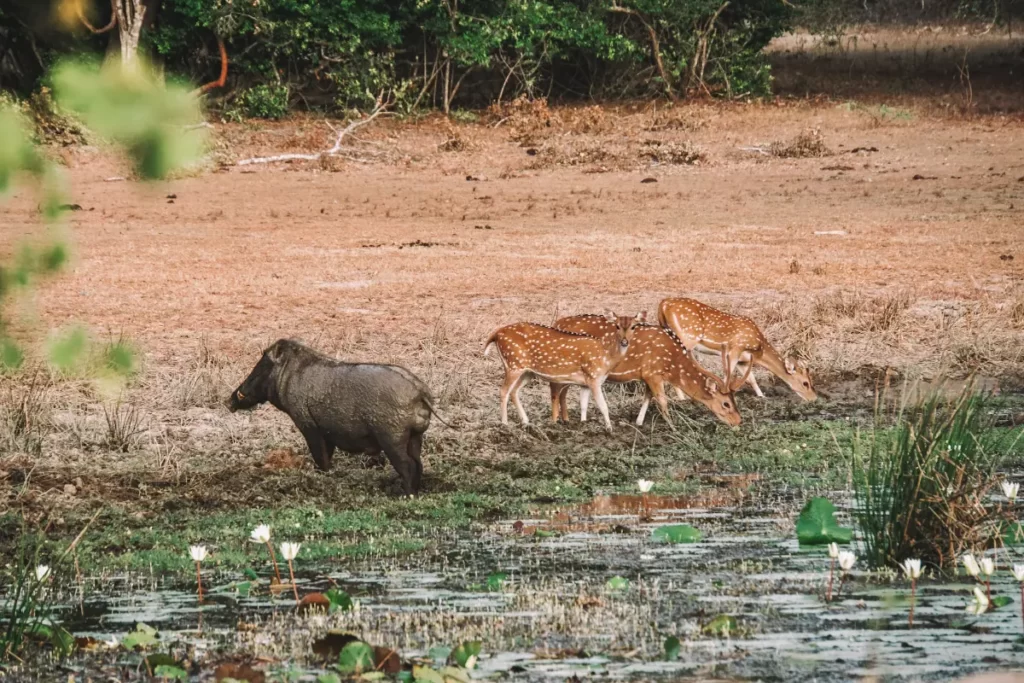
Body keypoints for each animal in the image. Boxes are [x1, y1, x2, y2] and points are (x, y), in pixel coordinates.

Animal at [227, 338, 442, 495]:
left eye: (263, 364)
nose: (229, 401)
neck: (288, 374)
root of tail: (420, 393)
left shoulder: (309, 426)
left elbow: (321, 458)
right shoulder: (326, 433)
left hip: (392, 439)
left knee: (407, 465)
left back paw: (405, 495)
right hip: (415, 437)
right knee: (418, 464)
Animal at [483, 312, 643, 431]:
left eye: (634, 326)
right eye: (616, 326)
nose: (624, 341)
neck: (607, 359)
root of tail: (496, 335)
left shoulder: (586, 382)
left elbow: (583, 404)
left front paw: (583, 425)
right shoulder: (593, 377)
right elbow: (603, 406)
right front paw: (609, 429)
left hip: (527, 372)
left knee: (514, 391)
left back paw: (526, 422)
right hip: (513, 364)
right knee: (503, 390)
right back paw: (505, 424)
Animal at [549, 315, 741, 428]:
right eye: (726, 404)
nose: (738, 420)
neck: (672, 364)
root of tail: (557, 322)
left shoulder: (648, 374)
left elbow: (648, 397)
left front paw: (639, 422)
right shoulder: (653, 372)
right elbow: (662, 400)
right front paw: (672, 426)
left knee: (565, 390)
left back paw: (569, 420)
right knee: (556, 388)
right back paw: (559, 421)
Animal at [657, 297, 816, 401]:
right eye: (805, 383)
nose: (814, 398)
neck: (758, 348)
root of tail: (663, 305)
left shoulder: (743, 360)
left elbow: (751, 379)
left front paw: (762, 396)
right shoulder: (735, 349)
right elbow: (727, 374)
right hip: (687, 337)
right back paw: (682, 399)